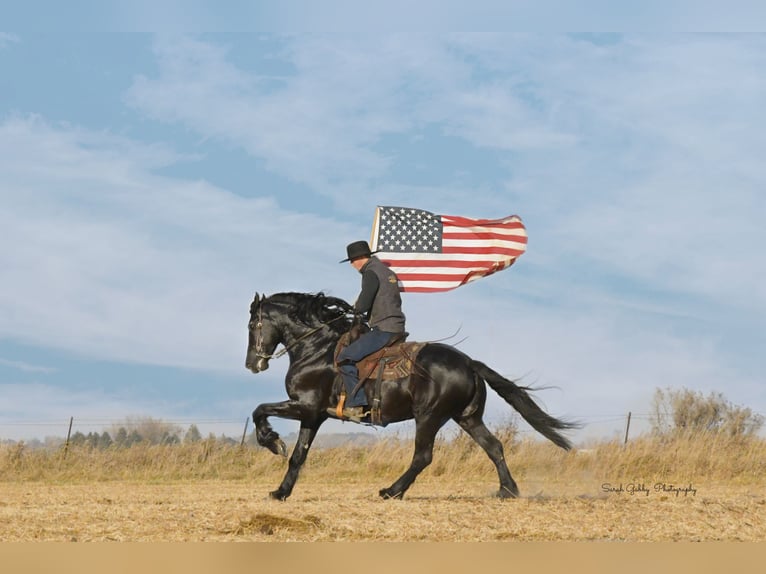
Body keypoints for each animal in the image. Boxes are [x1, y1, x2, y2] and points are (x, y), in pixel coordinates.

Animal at [246, 290, 576, 502]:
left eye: (252, 325)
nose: (253, 364)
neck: (317, 349)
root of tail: (469, 362)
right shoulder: (313, 416)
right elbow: (298, 455)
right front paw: (281, 492)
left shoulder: (305, 407)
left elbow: (259, 409)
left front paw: (271, 441)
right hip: (467, 418)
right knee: (494, 447)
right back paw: (507, 491)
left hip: (429, 417)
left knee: (423, 456)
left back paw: (392, 491)